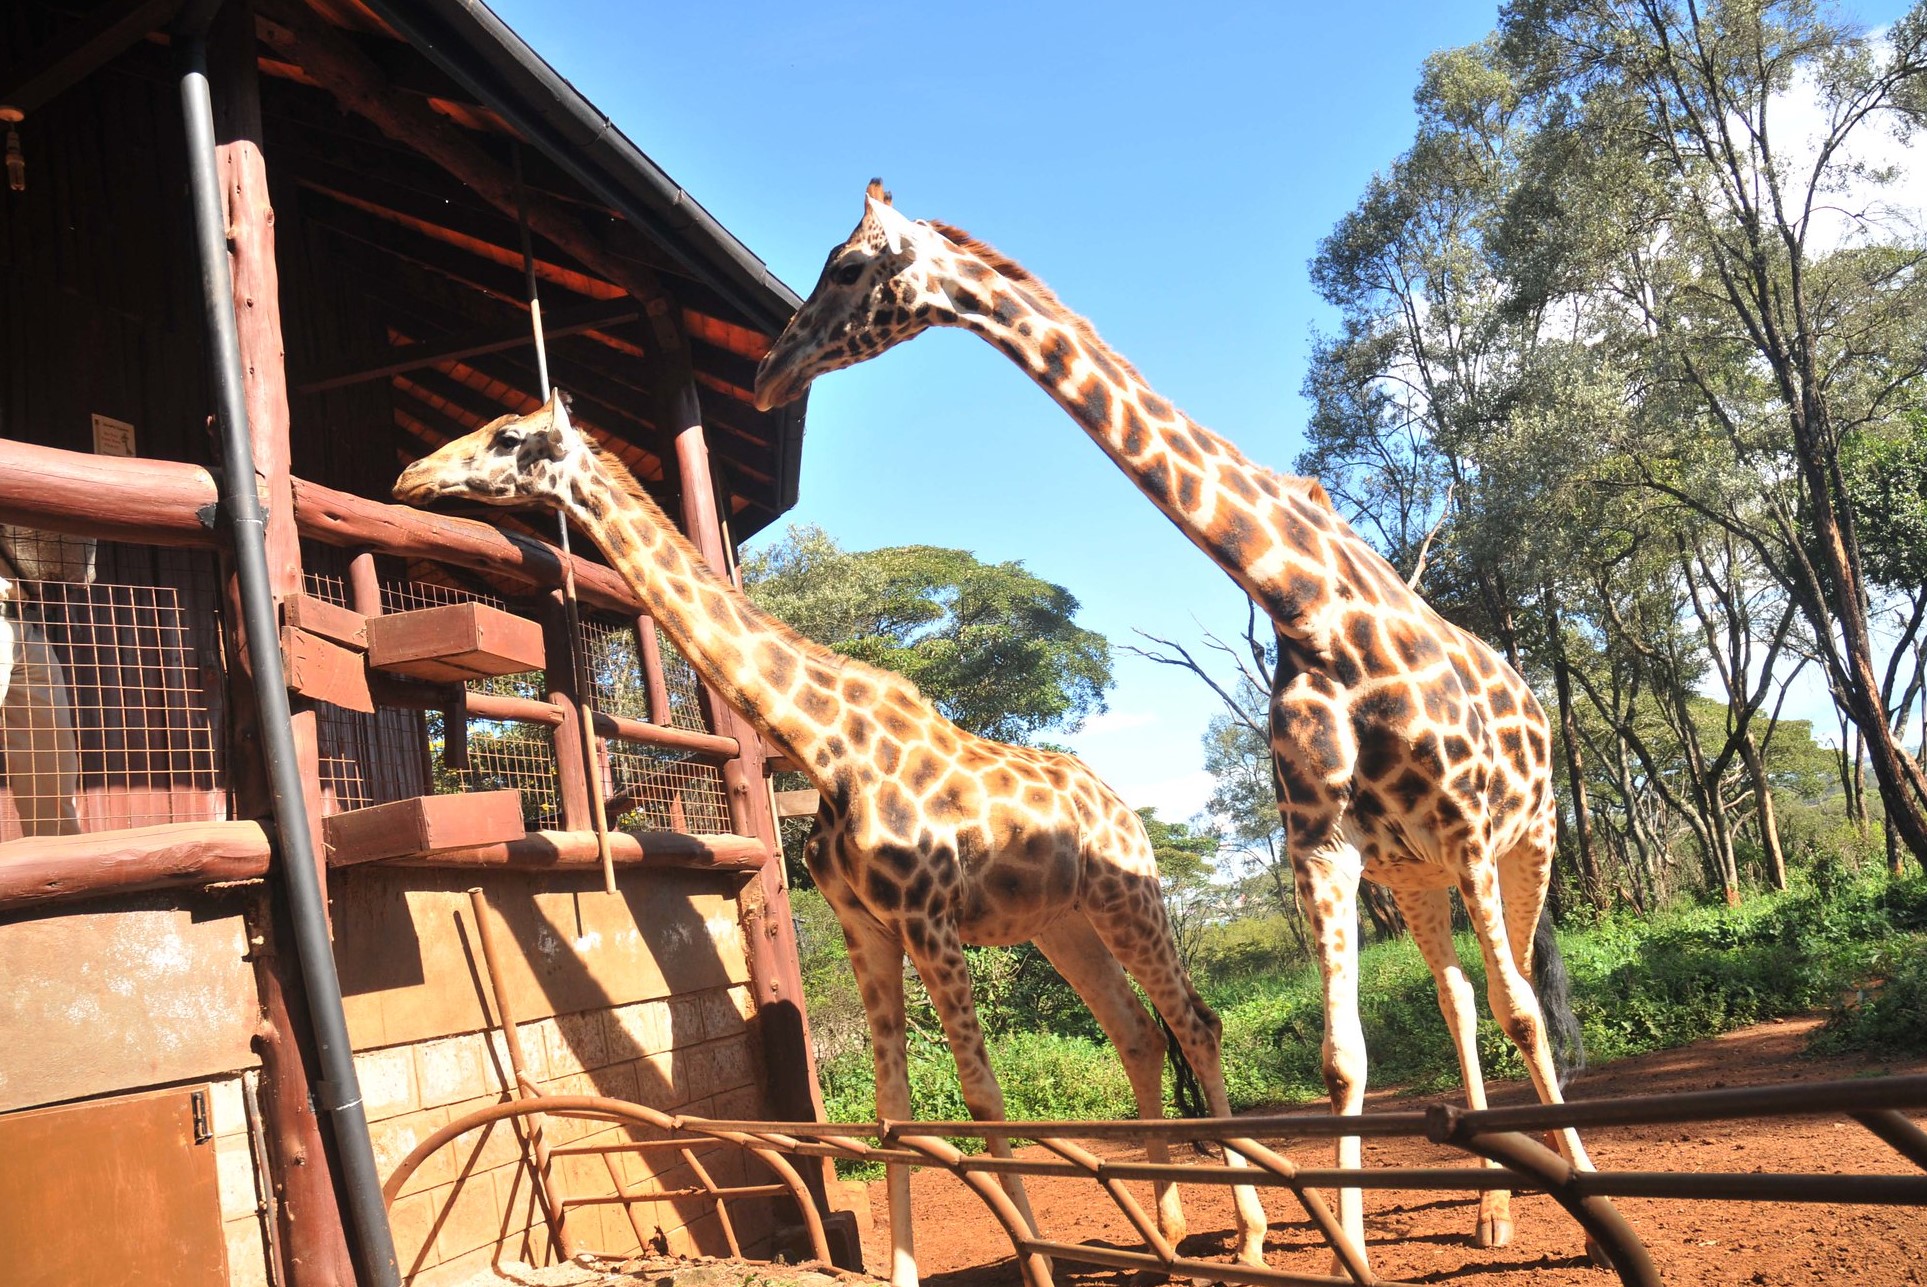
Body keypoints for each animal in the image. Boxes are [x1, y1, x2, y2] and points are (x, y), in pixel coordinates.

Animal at [393, 389, 1271, 1287]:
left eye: (507, 435)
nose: (409, 475)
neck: (820, 744)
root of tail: (1123, 809)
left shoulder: (928, 918)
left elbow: (981, 1095)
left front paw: (1035, 1260)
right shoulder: (866, 927)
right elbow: (893, 1112)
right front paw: (912, 1269)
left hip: (1128, 897)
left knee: (1196, 1022)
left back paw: (1249, 1236)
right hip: (1062, 922)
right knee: (1136, 1032)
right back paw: (1166, 1238)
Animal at [751, 181, 1595, 1263]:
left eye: (848, 266)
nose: (770, 372)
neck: (1305, 606)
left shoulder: (1465, 825)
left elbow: (1518, 1009)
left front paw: (1590, 1205)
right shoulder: (1326, 843)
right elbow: (1342, 1057)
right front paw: (1351, 1247)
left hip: (1522, 839)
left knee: (1518, 982)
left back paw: (1550, 1183)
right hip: (1412, 872)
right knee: (1453, 990)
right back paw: (1491, 1209)